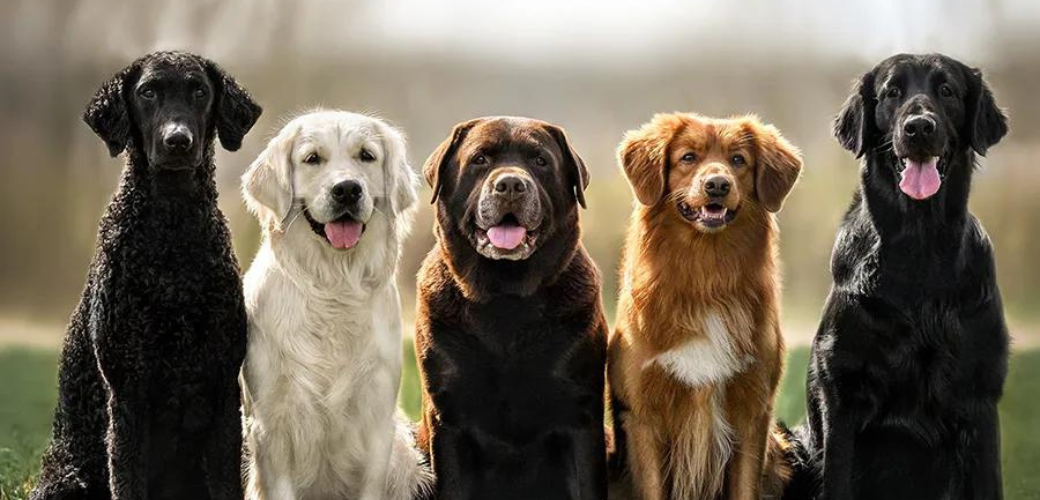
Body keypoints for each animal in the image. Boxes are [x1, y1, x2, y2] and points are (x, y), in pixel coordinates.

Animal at [31, 49, 262, 498]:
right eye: (147, 92)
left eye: (199, 91)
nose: (178, 141)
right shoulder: (128, 393)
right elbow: (127, 477)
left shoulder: (222, 388)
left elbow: (226, 483)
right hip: (66, 480)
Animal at [239, 109, 430, 498]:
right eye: (312, 158)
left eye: (367, 155)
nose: (347, 190)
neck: (334, 288)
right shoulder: (271, 424)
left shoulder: (376, 420)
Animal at [607, 112, 802, 498]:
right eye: (688, 157)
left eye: (738, 160)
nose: (717, 185)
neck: (705, 277)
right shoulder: (643, 416)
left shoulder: (752, 412)